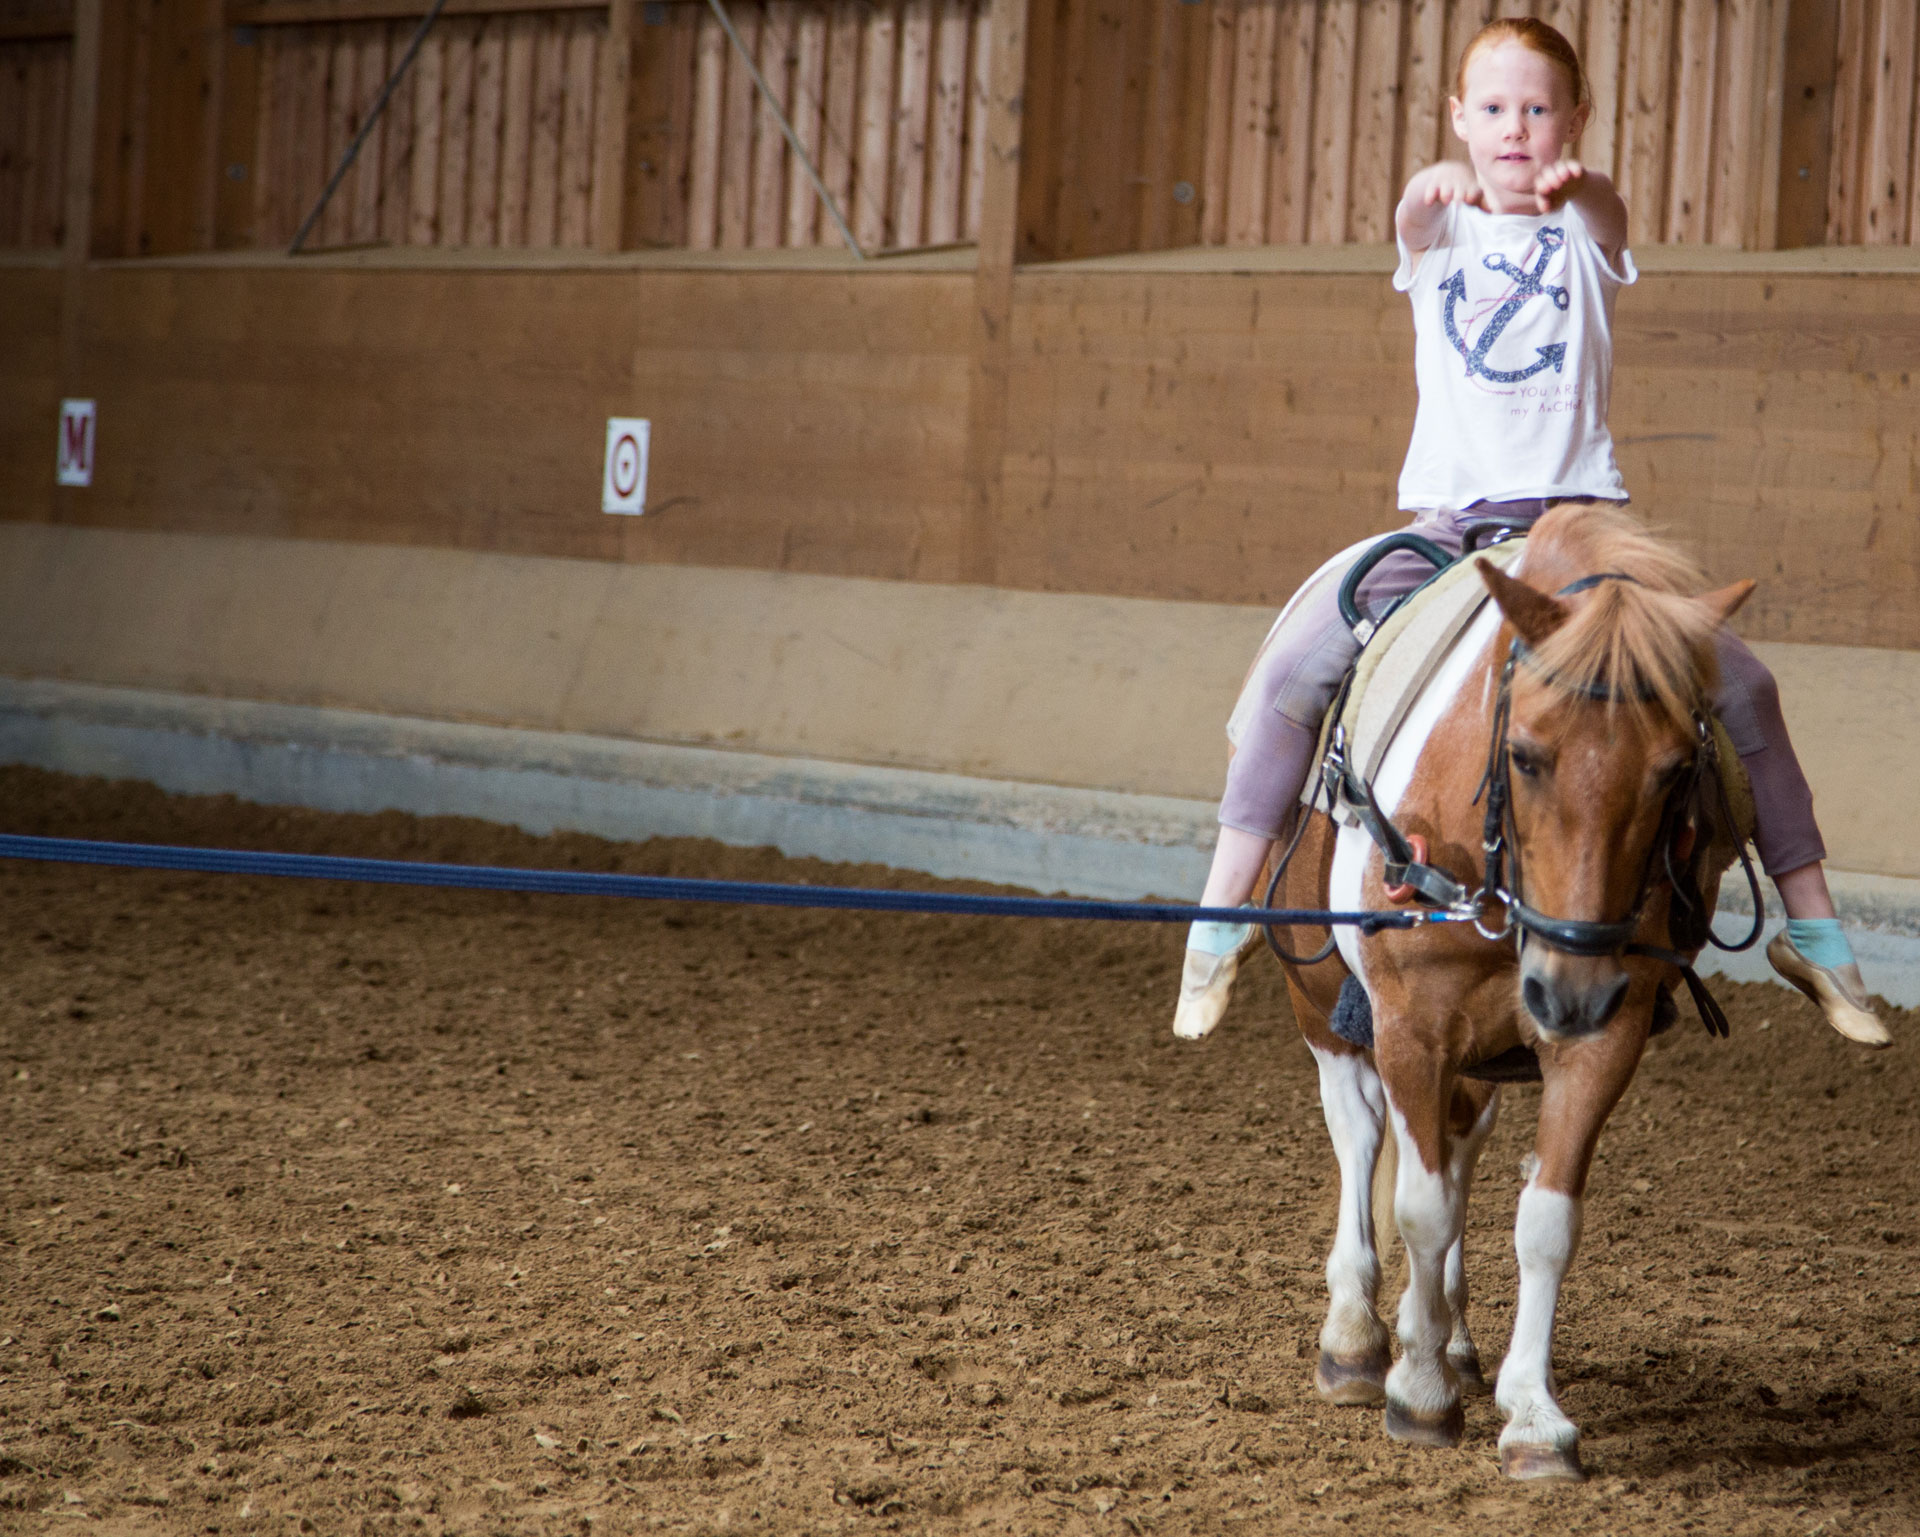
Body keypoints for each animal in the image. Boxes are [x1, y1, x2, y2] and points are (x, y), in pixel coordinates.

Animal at [1274, 510, 1758, 1481]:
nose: (1569, 987)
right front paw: (1419, 1391)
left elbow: (1544, 1219)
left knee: (1458, 1150)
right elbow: (1419, 1208)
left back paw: (1450, 1336)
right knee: (1360, 1133)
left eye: (1675, 768)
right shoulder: (1412, 1028)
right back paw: (1356, 1338)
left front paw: (1532, 1412)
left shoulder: (1601, 1036)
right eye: (1526, 756)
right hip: (1327, 1011)